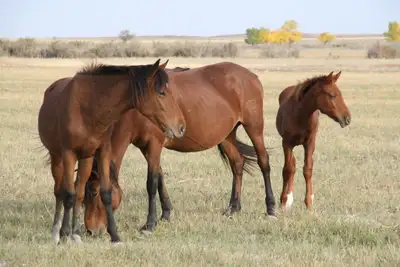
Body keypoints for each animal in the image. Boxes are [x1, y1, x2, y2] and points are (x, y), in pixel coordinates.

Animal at [38, 60, 187, 245]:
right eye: (161, 92)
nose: (181, 127)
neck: (88, 107)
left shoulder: (103, 152)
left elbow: (105, 193)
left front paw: (115, 236)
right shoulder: (68, 155)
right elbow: (69, 195)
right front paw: (65, 235)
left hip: (86, 159)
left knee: (78, 190)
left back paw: (75, 233)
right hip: (57, 157)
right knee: (60, 191)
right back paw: (57, 232)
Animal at [83, 62, 278, 234]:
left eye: (94, 193)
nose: (91, 231)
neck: (135, 109)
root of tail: (251, 76)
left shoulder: (154, 145)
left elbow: (151, 183)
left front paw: (149, 224)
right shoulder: (146, 148)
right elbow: (160, 179)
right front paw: (166, 214)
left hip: (254, 127)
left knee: (264, 162)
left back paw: (271, 208)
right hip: (226, 135)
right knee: (237, 164)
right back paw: (233, 207)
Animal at [276, 71, 352, 214]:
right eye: (333, 95)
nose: (347, 118)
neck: (300, 115)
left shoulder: (310, 143)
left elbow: (307, 169)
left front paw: (309, 203)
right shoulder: (287, 143)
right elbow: (287, 170)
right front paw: (283, 202)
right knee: (292, 165)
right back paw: (288, 199)